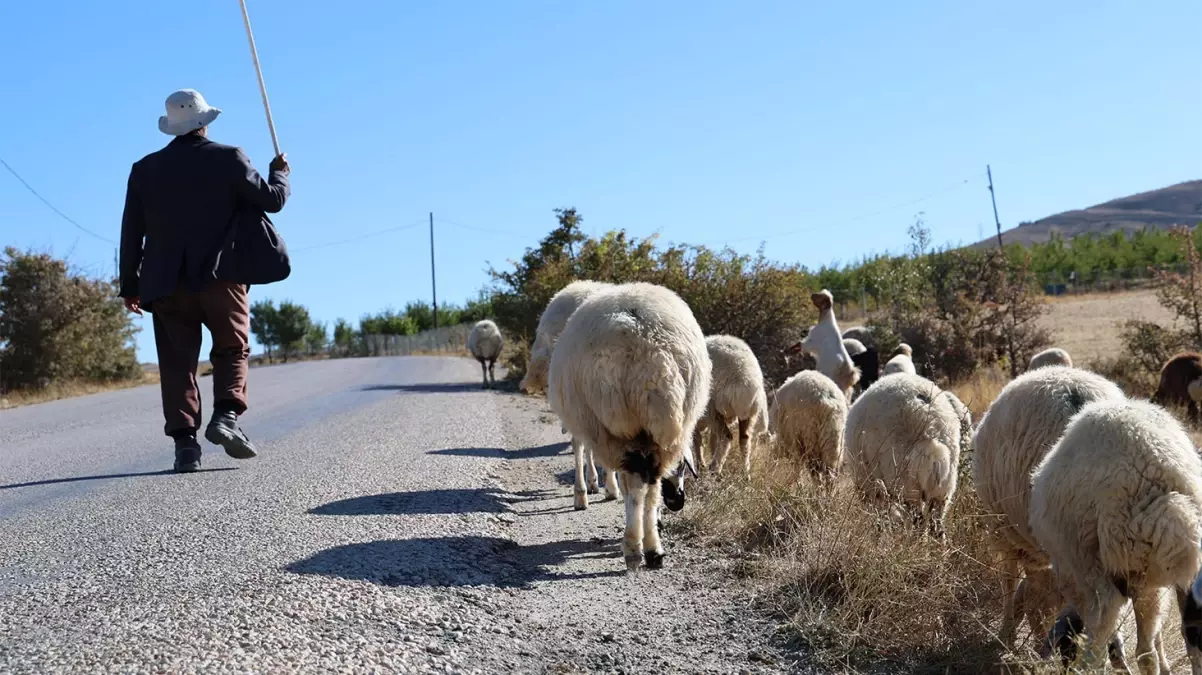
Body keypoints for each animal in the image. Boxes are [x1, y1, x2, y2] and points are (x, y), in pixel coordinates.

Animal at [548, 278, 706, 566]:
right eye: (682, 468)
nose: (677, 502)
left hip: (612, 426)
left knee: (634, 484)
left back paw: (633, 544)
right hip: (661, 433)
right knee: (650, 486)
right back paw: (652, 548)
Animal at [697, 331, 769, 473]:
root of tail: (745, 379)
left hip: (715, 406)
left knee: (725, 437)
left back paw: (714, 468)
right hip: (747, 415)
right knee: (744, 440)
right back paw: (745, 472)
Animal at [846, 369, 966, 533]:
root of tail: (931, 426)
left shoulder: (870, 485)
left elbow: (879, 515)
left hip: (903, 478)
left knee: (918, 520)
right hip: (945, 484)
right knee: (936, 523)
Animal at [1028, 398, 1202, 672]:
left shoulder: (1073, 574)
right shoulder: (1150, 584)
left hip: (1087, 555)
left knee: (1104, 622)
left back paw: (1089, 666)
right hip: (1162, 573)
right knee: (1168, 644)